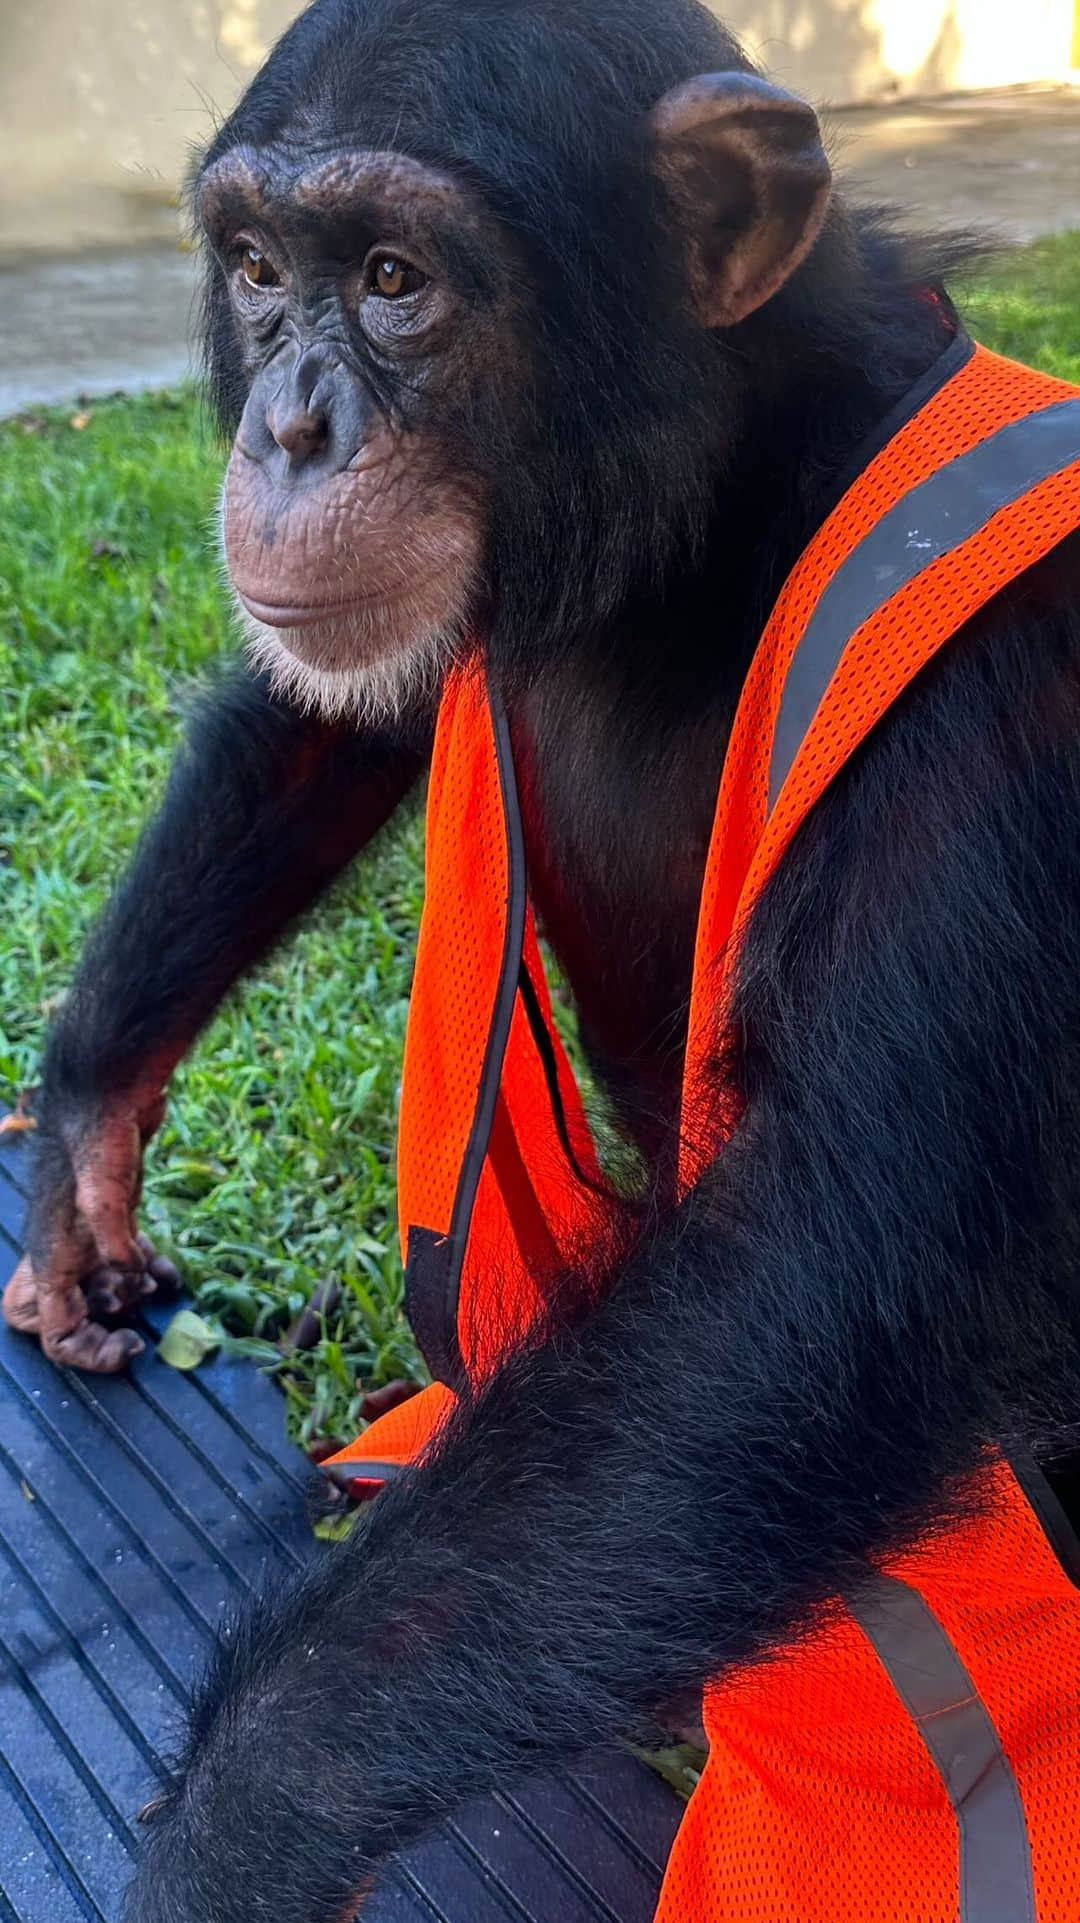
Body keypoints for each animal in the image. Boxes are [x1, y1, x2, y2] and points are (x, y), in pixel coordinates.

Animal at [6, 0, 1076, 1915]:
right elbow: (330, 718)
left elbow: (816, 1291)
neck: (709, 520)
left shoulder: (1000, 690)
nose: (290, 426)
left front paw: (237, 1821)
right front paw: (83, 1141)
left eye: (395, 277)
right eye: (260, 271)